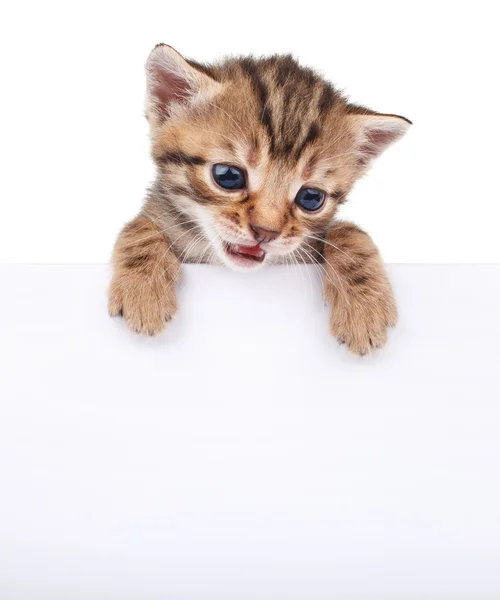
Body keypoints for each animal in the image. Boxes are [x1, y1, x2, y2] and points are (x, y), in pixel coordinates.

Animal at [109, 44, 410, 354]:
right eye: (228, 176)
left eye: (311, 198)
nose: (265, 232)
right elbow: (139, 226)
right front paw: (143, 289)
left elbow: (349, 231)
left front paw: (365, 306)